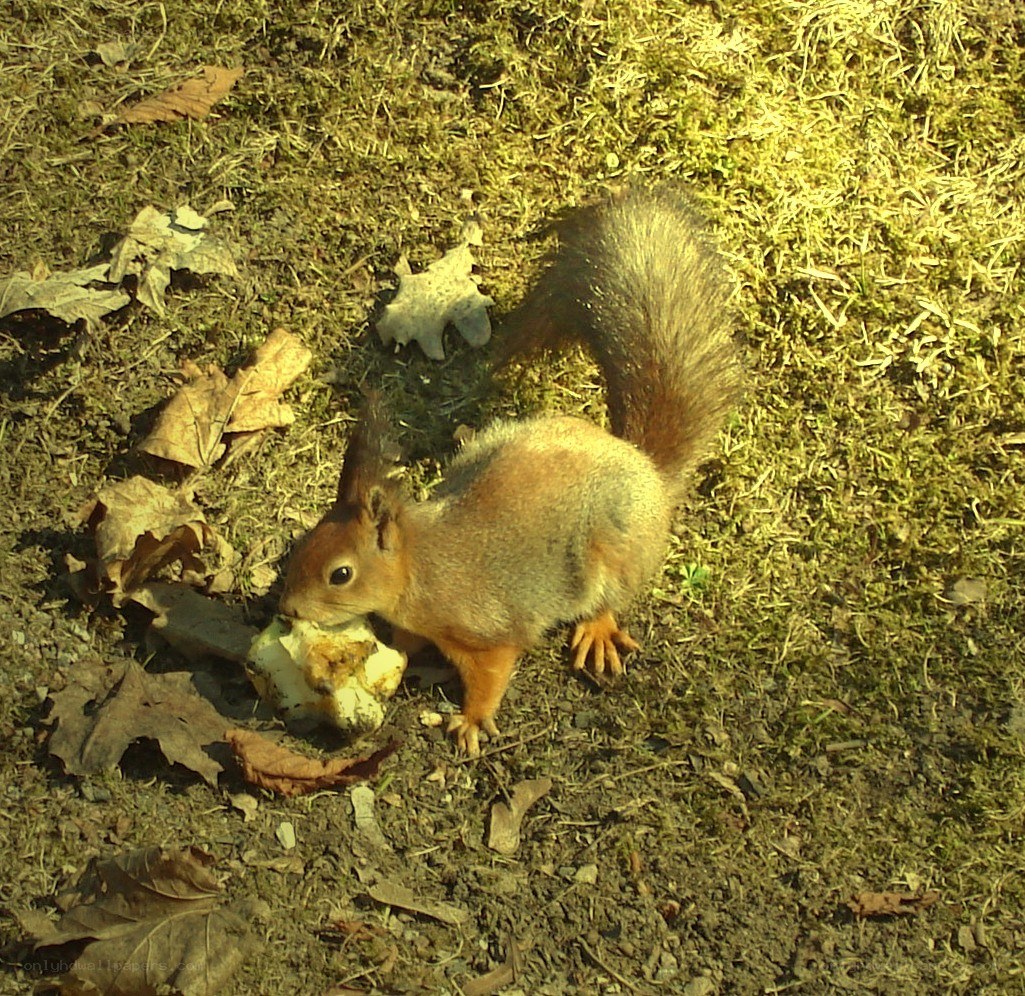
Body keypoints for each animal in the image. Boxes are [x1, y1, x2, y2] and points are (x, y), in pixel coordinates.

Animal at [280, 185, 739, 755]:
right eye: (305, 541)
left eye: (340, 574)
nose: (288, 609)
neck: (420, 566)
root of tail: (647, 468)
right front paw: (398, 656)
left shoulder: (487, 632)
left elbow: (492, 674)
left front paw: (471, 721)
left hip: (615, 547)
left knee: (610, 597)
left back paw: (597, 629)